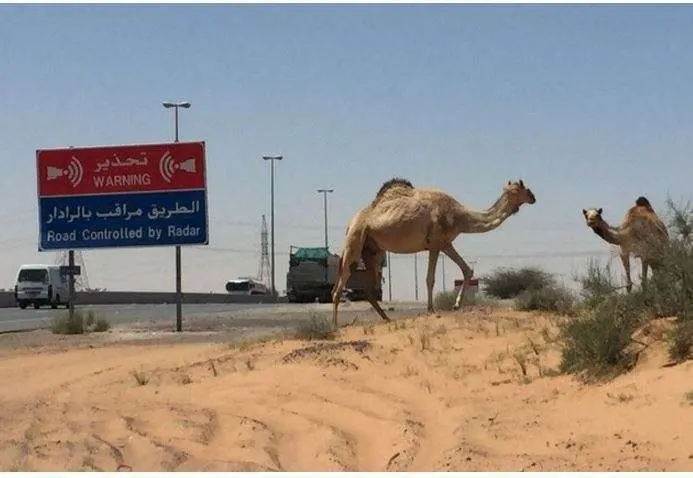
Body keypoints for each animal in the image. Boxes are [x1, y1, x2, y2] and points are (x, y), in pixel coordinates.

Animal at [328, 177, 536, 326]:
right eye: (525, 189)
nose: (534, 197)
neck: (459, 215)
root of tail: (350, 223)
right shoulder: (435, 244)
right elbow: (430, 279)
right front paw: (431, 309)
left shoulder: (445, 243)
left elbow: (467, 270)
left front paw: (456, 305)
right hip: (355, 241)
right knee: (339, 286)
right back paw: (335, 325)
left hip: (373, 250)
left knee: (369, 289)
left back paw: (387, 319)